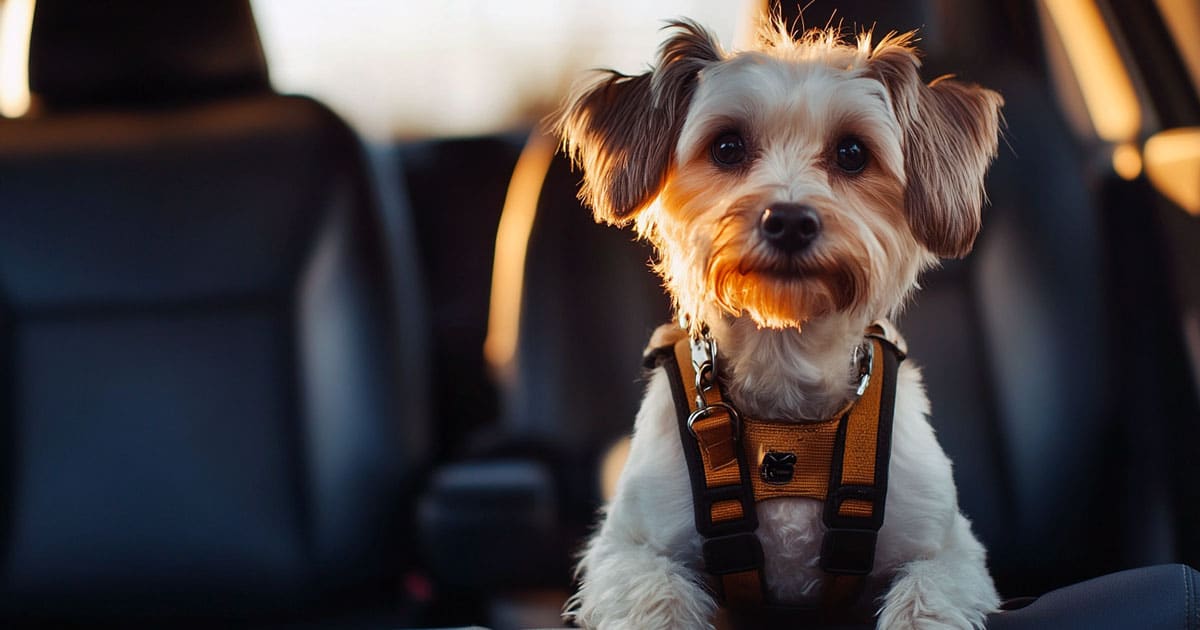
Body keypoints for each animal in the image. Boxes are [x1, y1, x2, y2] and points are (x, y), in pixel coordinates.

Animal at [552, 14, 1003, 628]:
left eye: (852, 153)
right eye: (727, 146)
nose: (788, 219)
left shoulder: (949, 551)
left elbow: (925, 600)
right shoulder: (626, 550)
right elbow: (658, 598)